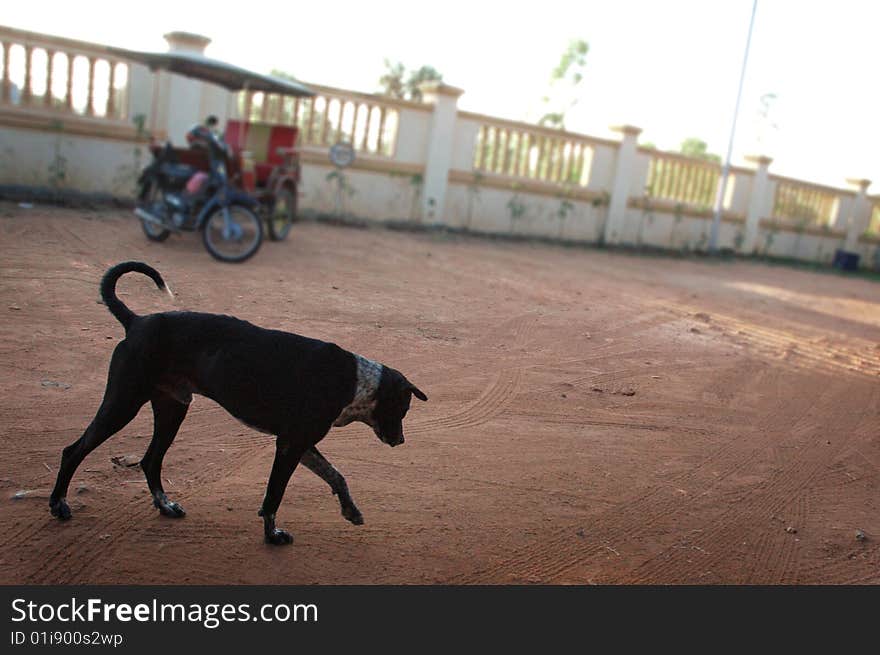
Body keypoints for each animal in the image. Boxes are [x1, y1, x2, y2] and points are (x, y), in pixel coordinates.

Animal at [49, 262, 428, 544]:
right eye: (404, 409)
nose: (401, 440)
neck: (356, 380)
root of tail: (137, 321)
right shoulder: (290, 445)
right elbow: (275, 494)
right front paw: (272, 535)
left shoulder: (300, 444)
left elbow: (337, 475)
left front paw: (350, 511)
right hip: (123, 403)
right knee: (74, 450)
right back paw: (59, 504)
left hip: (172, 408)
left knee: (150, 460)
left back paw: (165, 505)